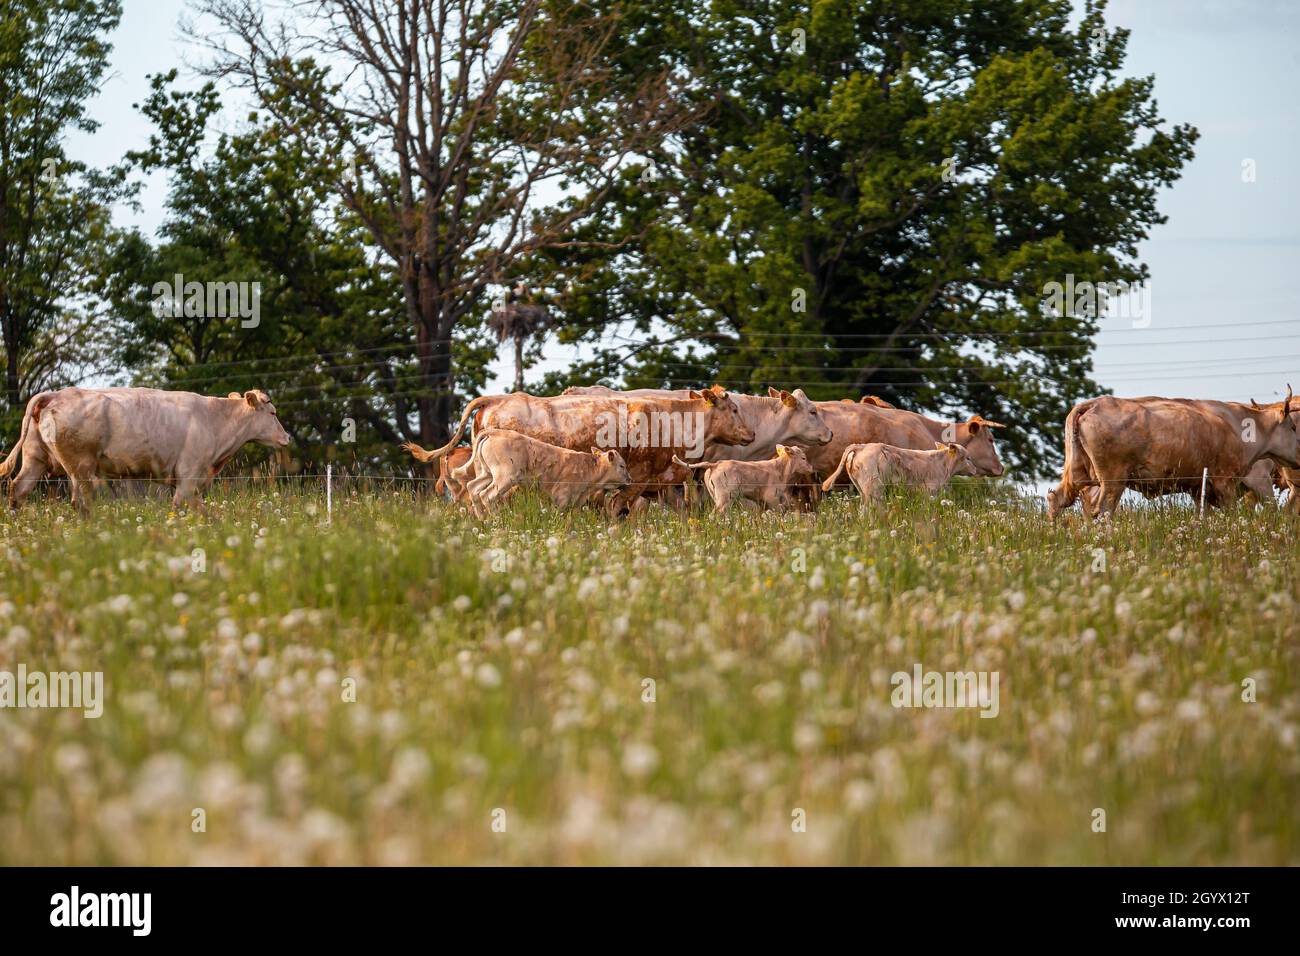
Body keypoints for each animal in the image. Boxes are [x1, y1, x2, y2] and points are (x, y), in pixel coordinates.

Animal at [0, 387, 290, 513]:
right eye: (273, 413)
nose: (286, 437)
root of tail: (54, 394)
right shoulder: (189, 475)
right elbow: (180, 508)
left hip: (36, 459)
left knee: (18, 489)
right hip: (80, 465)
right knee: (81, 501)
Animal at [462, 429, 631, 518]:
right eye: (622, 466)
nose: (630, 479)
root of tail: (494, 431)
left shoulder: (576, 501)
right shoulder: (561, 495)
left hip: (486, 473)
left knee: (473, 488)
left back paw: (483, 519)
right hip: (505, 477)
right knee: (487, 495)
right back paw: (495, 520)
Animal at [671, 444, 813, 513]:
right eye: (804, 458)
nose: (811, 468)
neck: (781, 470)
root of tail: (715, 464)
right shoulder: (772, 499)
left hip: (716, 496)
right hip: (725, 498)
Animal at [820, 442, 977, 503]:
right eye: (968, 458)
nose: (975, 469)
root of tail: (861, 446)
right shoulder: (930, 492)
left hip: (862, 489)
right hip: (874, 488)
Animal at [1046, 389, 1300, 519]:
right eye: (1293, 427)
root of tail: (1093, 404)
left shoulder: (1199, 487)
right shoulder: (1229, 481)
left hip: (1081, 473)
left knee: (1059, 498)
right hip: (1112, 480)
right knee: (1103, 509)